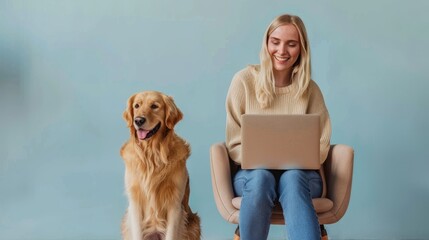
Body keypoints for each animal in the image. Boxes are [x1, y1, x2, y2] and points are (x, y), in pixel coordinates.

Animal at [120, 91, 201, 239]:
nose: (138, 120)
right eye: (136, 106)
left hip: (194, 224)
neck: (152, 155)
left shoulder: (175, 203)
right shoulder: (135, 201)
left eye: (154, 106)